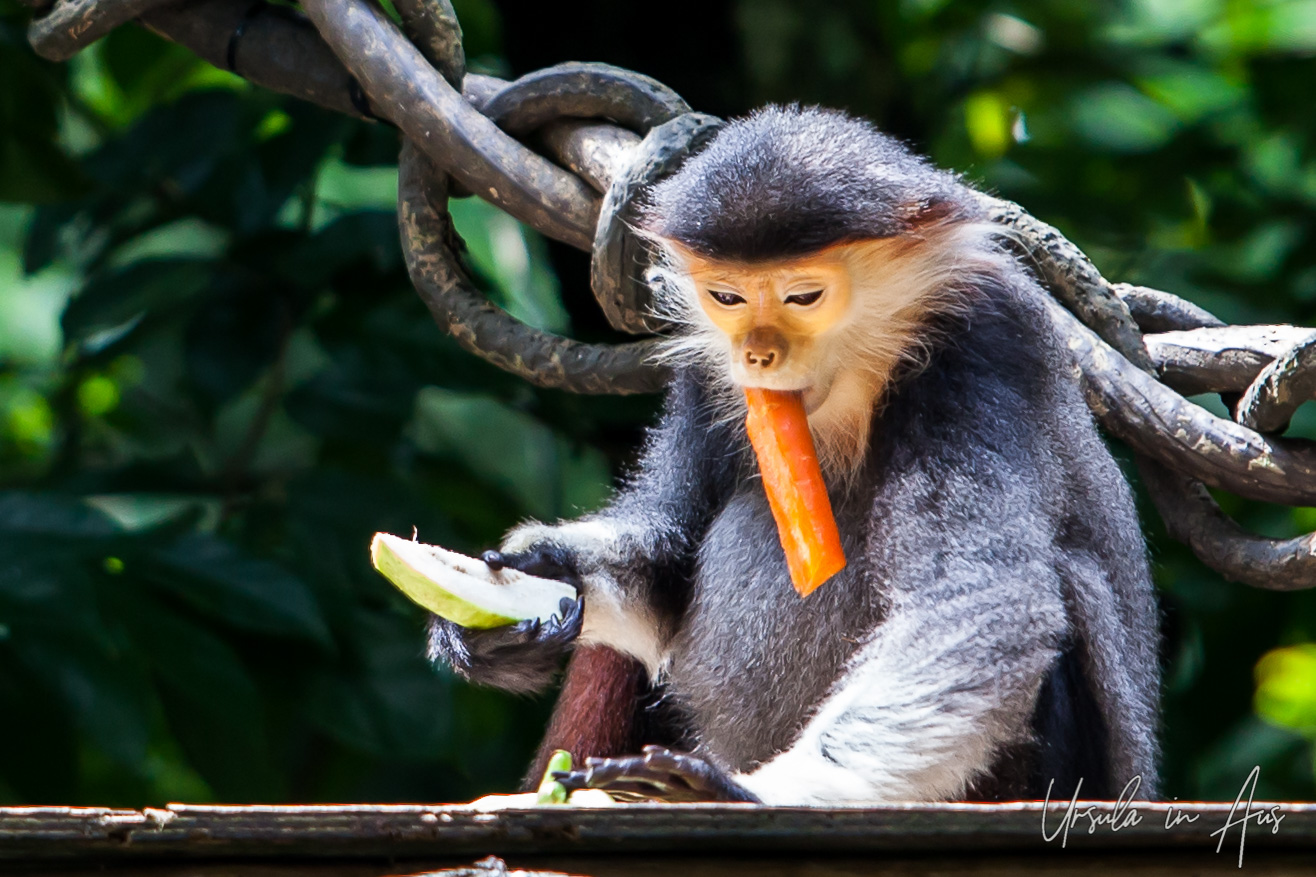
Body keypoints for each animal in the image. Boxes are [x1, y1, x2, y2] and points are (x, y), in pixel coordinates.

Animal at [427, 105, 1161, 804]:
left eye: (803, 297)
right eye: (727, 297)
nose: (758, 354)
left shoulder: (982, 350)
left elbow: (983, 602)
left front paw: (747, 791)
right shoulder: (706, 378)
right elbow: (668, 563)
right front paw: (523, 590)